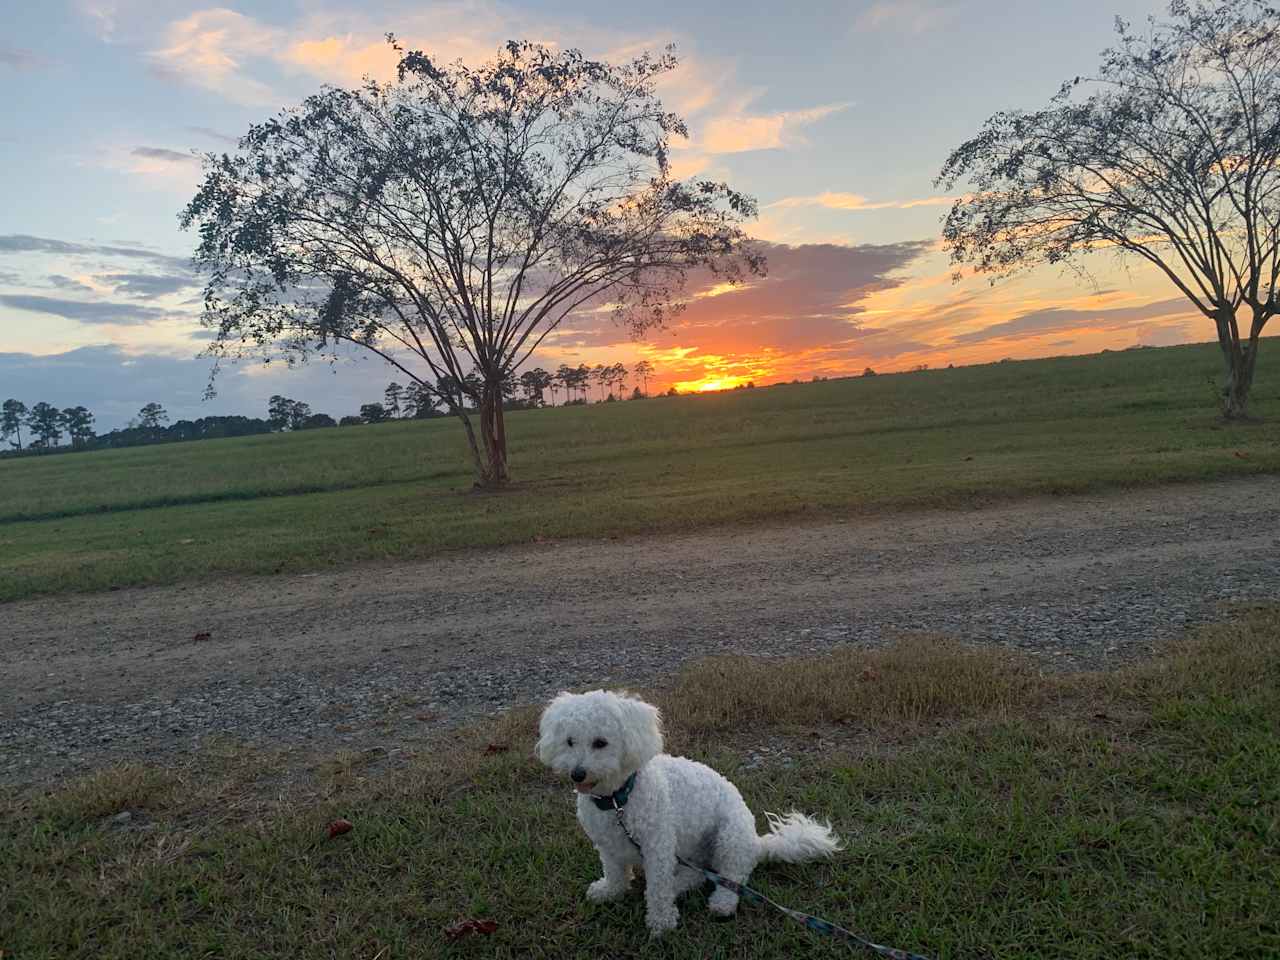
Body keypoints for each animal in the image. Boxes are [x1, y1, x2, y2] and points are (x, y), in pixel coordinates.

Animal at [537, 691, 844, 942]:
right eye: (569, 742)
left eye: (600, 743)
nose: (577, 773)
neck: (617, 799)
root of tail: (757, 843)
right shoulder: (607, 844)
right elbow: (614, 872)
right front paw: (610, 892)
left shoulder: (658, 847)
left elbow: (659, 889)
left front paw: (661, 923)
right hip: (692, 854)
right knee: (696, 876)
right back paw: (680, 885)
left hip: (730, 838)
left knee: (732, 876)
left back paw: (722, 903)